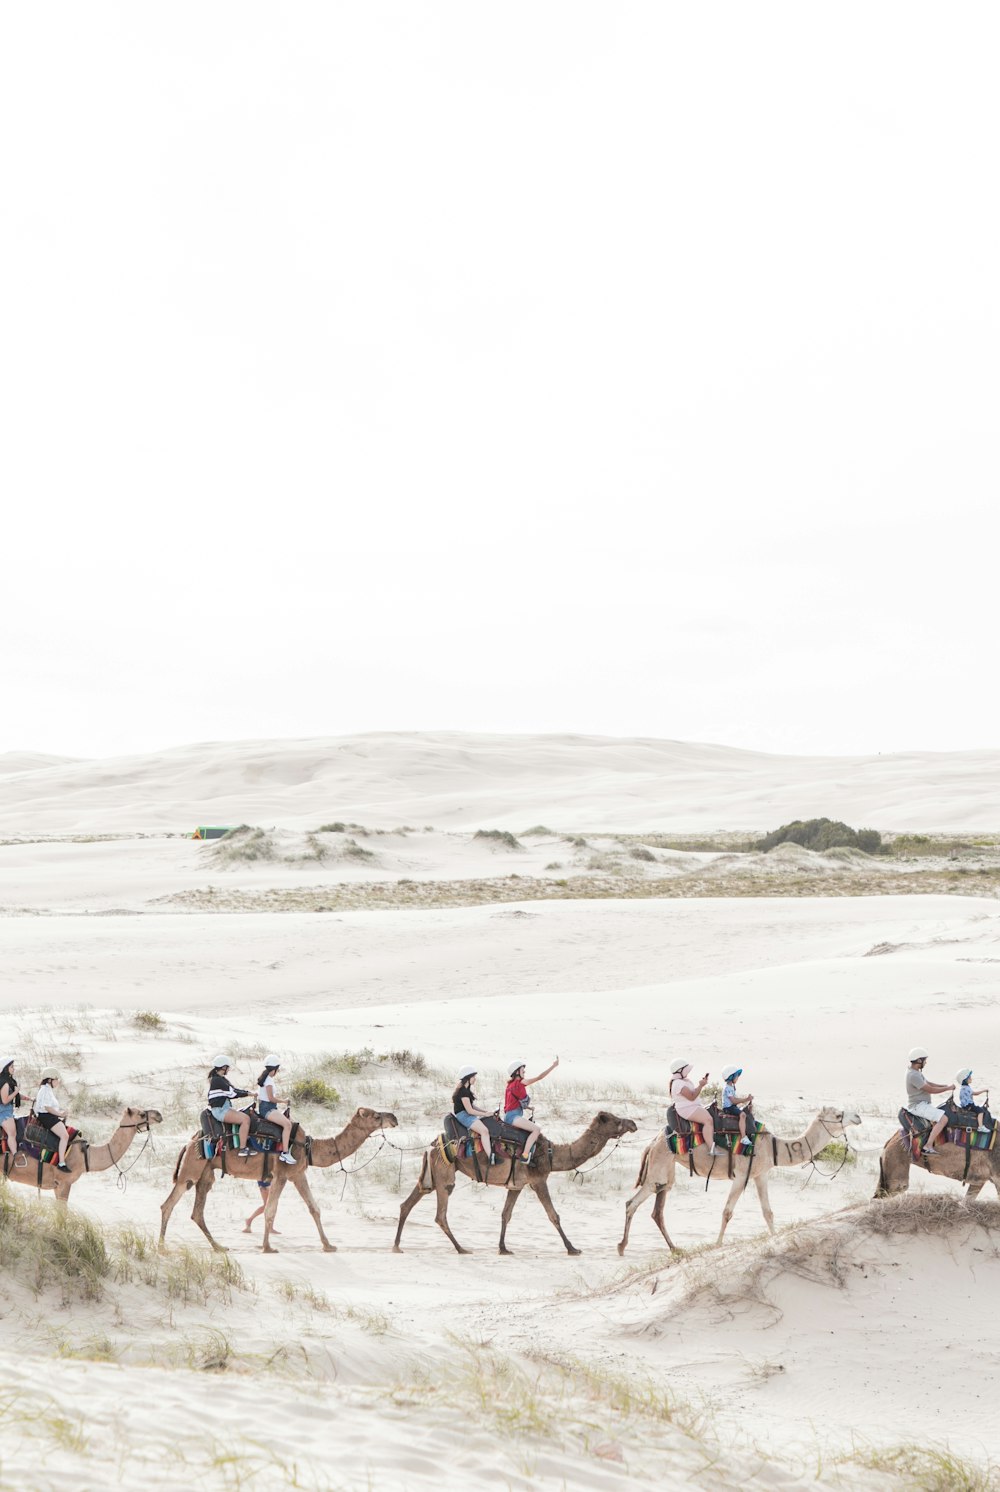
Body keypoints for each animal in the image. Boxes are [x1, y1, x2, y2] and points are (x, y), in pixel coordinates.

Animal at [160, 1104, 400, 1253]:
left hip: (206, 1173)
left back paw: (217, 1247)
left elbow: (314, 1208)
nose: (394, 1118)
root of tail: (190, 1141)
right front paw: (267, 1247)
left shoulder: (298, 1174)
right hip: (192, 1167)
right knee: (170, 1203)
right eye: (376, 1116)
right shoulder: (282, 1174)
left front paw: (328, 1245)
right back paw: (162, 1246)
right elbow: (270, 1210)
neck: (308, 1146)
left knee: (195, 1211)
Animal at [394, 1110, 638, 1259]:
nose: (633, 1123)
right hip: (445, 1174)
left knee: (408, 1204)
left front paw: (503, 1248)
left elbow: (506, 1214)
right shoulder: (538, 1180)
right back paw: (461, 1248)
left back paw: (396, 1245)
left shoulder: (517, 1185)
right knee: (440, 1214)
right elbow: (553, 1215)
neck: (551, 1154)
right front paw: (572, 1248)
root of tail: (434, 1145)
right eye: (616, 1120)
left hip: (435, 1173)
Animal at [617, 1104, 859, 1253]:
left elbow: (768, 1212)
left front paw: (776, 1237)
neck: (773, 1146)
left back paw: (675, 1249)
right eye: (838, 1116)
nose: (857, 1116)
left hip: (666, 1170)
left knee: (657, 1209)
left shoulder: (760, 1174)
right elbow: (727, 1212)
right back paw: (621, 1246)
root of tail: (653, 1141)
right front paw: (717, 1245)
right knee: (632, 1203)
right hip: (659, 1164)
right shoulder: (742, 1175)